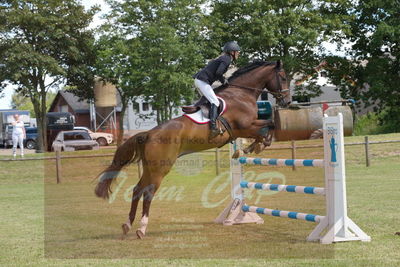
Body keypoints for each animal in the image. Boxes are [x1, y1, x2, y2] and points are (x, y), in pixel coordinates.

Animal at [95, 59, 292, 240]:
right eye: (283, 77)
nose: (287, 101)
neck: (241, 93)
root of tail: (149, 133)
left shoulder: (245, 129)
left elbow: (268, 126)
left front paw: (250, 148)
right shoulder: (244, 127)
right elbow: (270, 125)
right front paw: (253, 147)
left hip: (150, 167)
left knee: (137, 190)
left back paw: (127, 224)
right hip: (160, 168)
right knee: (148, 192)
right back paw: (141, 228)